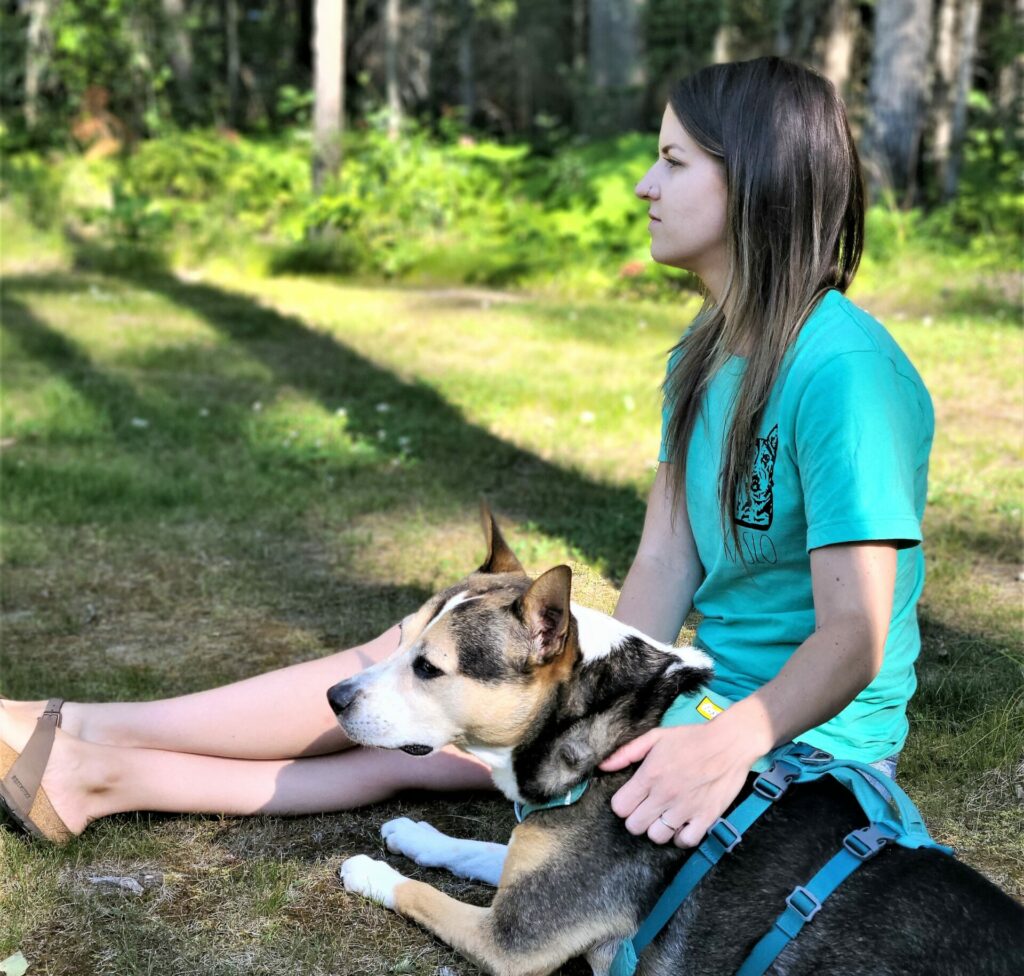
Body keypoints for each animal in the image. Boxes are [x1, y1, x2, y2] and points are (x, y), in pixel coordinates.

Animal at [327, 510, 1024, 974]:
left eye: (428, 668)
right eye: (399, 639)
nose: (333, 696)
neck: (598, 722)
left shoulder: (513, 940)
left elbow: (420, 891)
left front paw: (369, 869)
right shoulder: (543, 875)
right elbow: (479, 850)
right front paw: (416, 835)